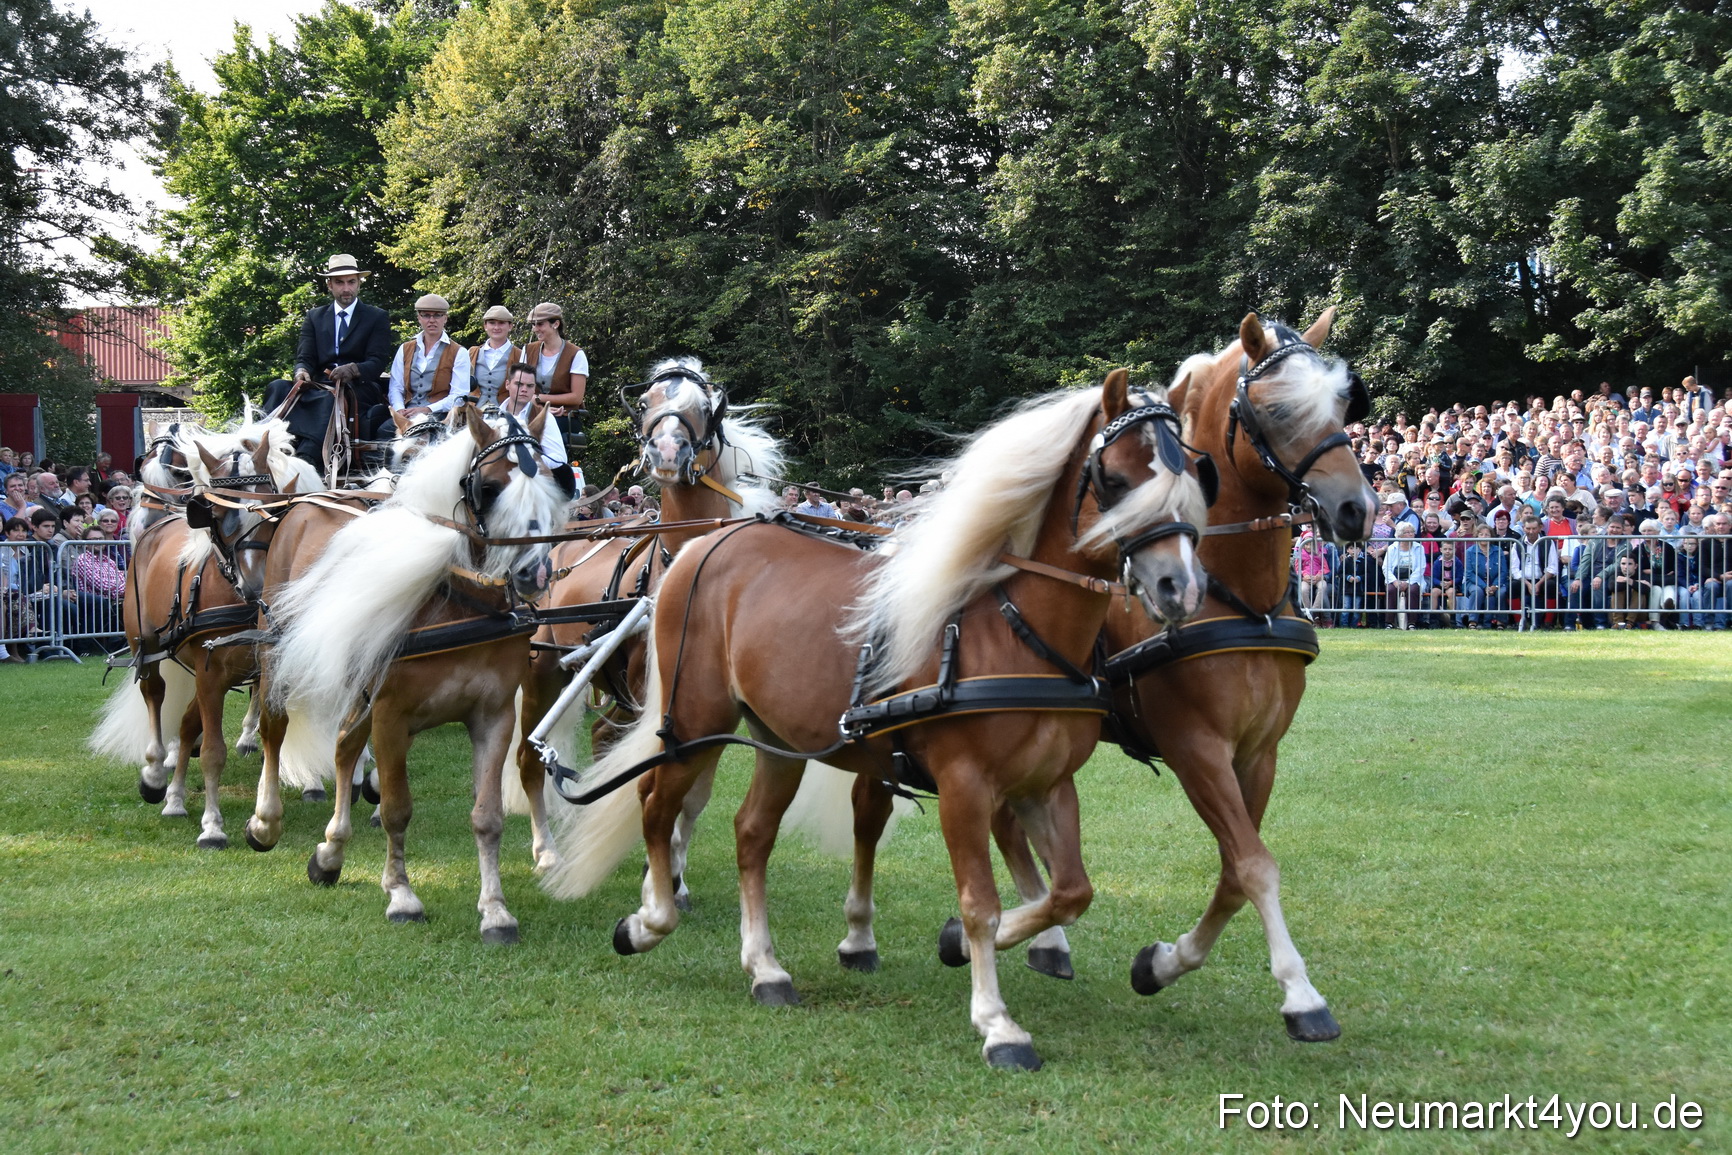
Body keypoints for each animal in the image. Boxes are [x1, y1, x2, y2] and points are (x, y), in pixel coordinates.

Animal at [266, 403, 567, 941]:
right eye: (490, 486)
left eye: (553, 481)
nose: (534, 572)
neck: (458, 604)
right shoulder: (391, 716)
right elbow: (396, 808)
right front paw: (402, 895)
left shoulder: (493, 716)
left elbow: (487, 816)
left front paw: (495, 909)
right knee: (274, 731)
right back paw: (263, 821)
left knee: (344, 748)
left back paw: (330, 852)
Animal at [511, 357, 784, 886]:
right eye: (644, 403)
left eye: (703, 407)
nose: (667, 449)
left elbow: (693, 794)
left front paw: (671, 868)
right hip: (541, 671)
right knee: (530, 761)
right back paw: (546, 849)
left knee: (601, 739)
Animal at [544, 371, 1210, 1069]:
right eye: (1115, 477)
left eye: (1192, 472)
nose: (1180, 587)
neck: (1012, 627)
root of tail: (707, 541)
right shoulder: (965, 787)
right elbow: (982, 903)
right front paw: (996, 1021)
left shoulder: (1048, 786)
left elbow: (1070, 892)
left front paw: (961, 945)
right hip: (693, 723)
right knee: (655, 806)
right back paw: (648, 920)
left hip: (775, 737)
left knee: (751, 834)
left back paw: (765, 968)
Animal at [999, 310, 1376, 1042]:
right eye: (1278, 409)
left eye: (1343, 403)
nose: (1357, 509)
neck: (1239, 599)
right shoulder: (1195, 747)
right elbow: (1254, 863)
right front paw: (1301, 993)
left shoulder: (1257, 752)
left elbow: (1236, 868)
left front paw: (1164, 962)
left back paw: (1043, 936)